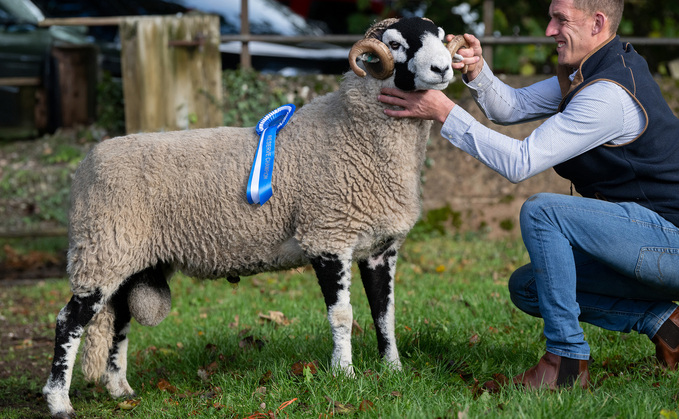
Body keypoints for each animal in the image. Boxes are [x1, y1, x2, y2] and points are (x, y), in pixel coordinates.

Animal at [41, 18, 468, 418]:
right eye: (394, 44)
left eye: (440, 36)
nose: (443, 69)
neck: (353, 131)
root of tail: (87, 164)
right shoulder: (327, 235)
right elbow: (343, 315)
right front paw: (345, 375)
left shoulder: (380, 248)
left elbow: (386, 312)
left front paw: (393, 370)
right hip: (101, 249)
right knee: (69, 321)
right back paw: (60, 402)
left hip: (128, 259)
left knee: (119, 319)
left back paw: (120, 390)